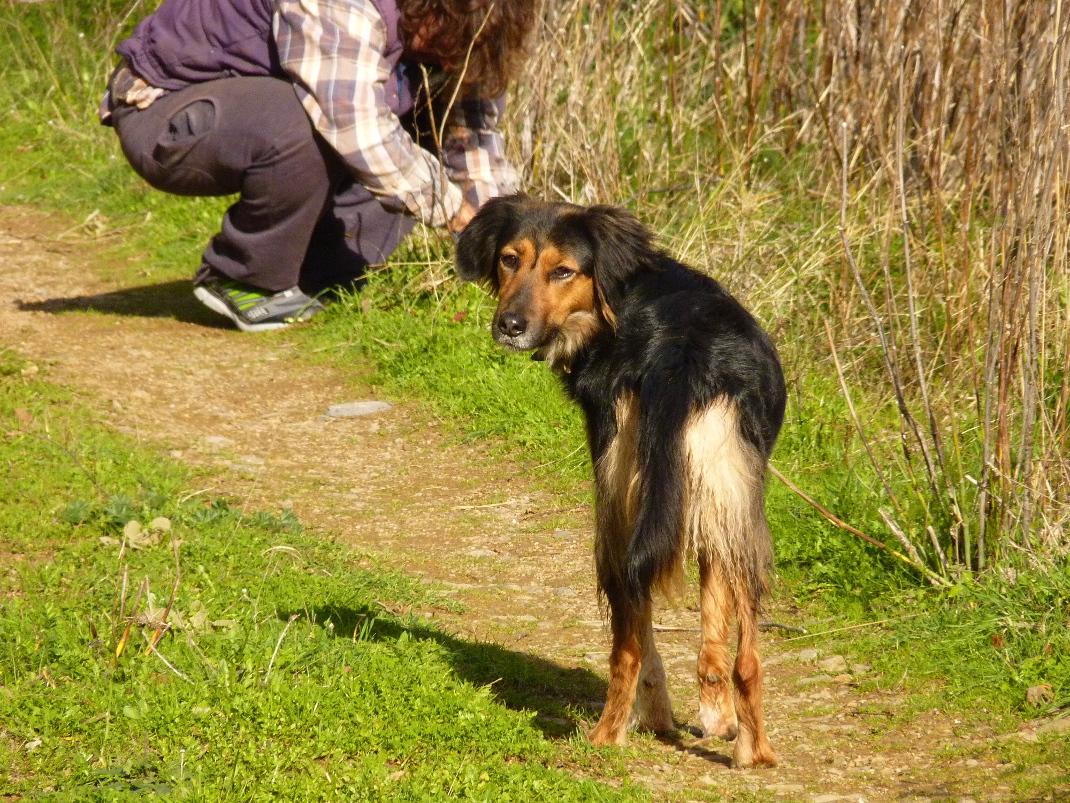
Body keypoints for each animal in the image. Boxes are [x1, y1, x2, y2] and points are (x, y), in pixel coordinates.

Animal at [457, 194, 787, 766]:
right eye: (509, 259)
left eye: (563, 271)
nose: (509, 325)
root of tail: (684, 356)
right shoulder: (710, 501)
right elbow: (712, 624)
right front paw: (717, 718)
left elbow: (645, 637)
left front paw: (654, 716)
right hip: (732, 499)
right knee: (746, 652)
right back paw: (755, 751)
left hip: (615, 504)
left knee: (627, 642)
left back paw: (607, 735)